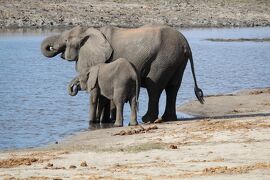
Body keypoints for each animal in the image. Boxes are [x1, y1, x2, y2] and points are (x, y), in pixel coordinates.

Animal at [41, 24, 204, 123]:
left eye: (66, 40)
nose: (51, 47)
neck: (90, 31)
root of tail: (186, 45)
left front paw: (99, 122)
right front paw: (106, 121)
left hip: (163, 59)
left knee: (154, 86)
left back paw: (147, 119)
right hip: (176, 60)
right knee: (173, 88)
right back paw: (168, 118)